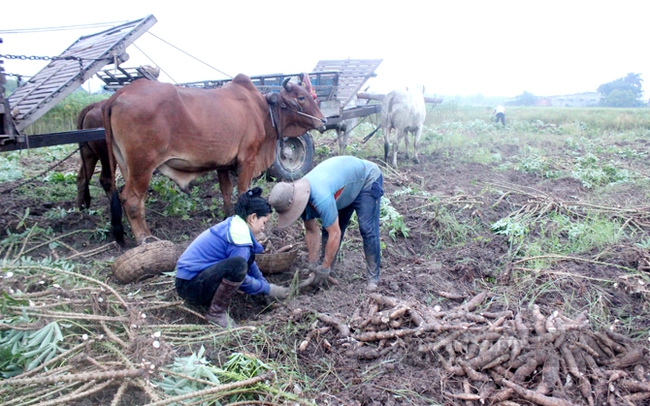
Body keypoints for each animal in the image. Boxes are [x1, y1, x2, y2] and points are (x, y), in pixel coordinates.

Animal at [105, 73, 324, 244]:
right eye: (302, 97)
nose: (323, 121)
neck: (262, 110)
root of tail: (118, 95)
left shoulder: (223, 164)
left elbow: (226, 190)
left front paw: (228, 213)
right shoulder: (247, 159)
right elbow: (243, 190)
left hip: (127, 167)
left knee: (135, 201)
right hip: (143, 166)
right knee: (132, 200)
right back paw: (144, 238)